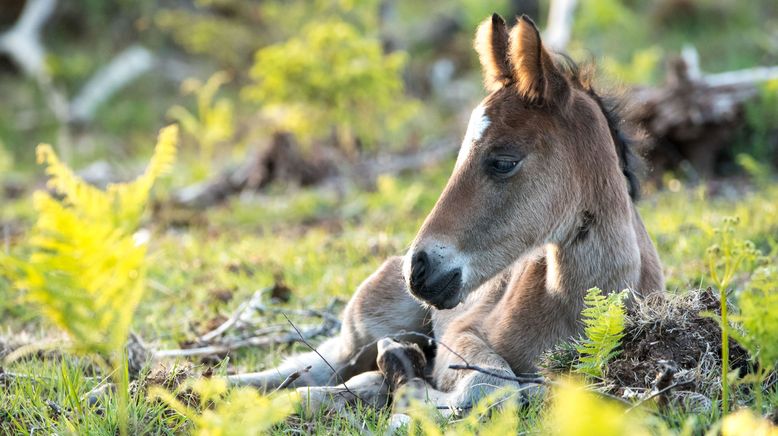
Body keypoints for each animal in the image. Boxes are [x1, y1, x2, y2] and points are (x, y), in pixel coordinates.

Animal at [229, 12, 660, 408]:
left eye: (503, 161)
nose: (418, 270)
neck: (577, 306)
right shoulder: (462, 333)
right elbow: (494, 384)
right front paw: (407, 386)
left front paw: (402, 380)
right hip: (368, 323)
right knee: (316, 366)